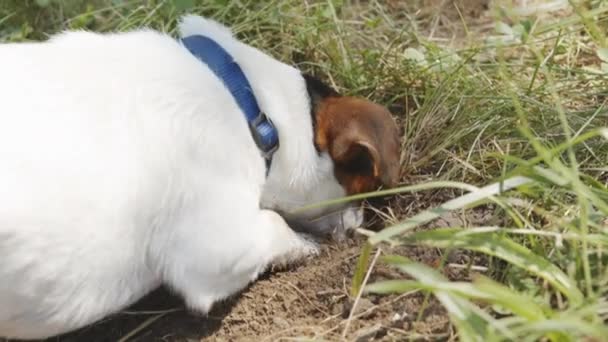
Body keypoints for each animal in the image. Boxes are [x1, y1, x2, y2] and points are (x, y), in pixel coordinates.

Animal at [0, 14, 400, 338]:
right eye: (362, 178)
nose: (362, 226)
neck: (251, 104)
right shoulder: (214, 251)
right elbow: (274, 224)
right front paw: (303, 246)